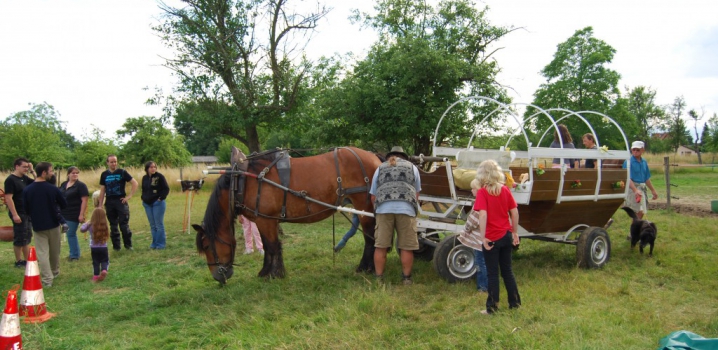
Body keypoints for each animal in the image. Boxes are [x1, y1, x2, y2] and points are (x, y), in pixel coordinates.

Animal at [191, 146, 382, 284]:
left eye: (206, 246)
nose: (217, 277)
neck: (241, 181)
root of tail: (375, 158)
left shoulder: (264, 220)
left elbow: (271, 246)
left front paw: (272, 274)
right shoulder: (268, 220)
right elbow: (272, 246)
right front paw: (269, 271)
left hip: (363, 207)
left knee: (370, 238)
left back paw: (366, 267)